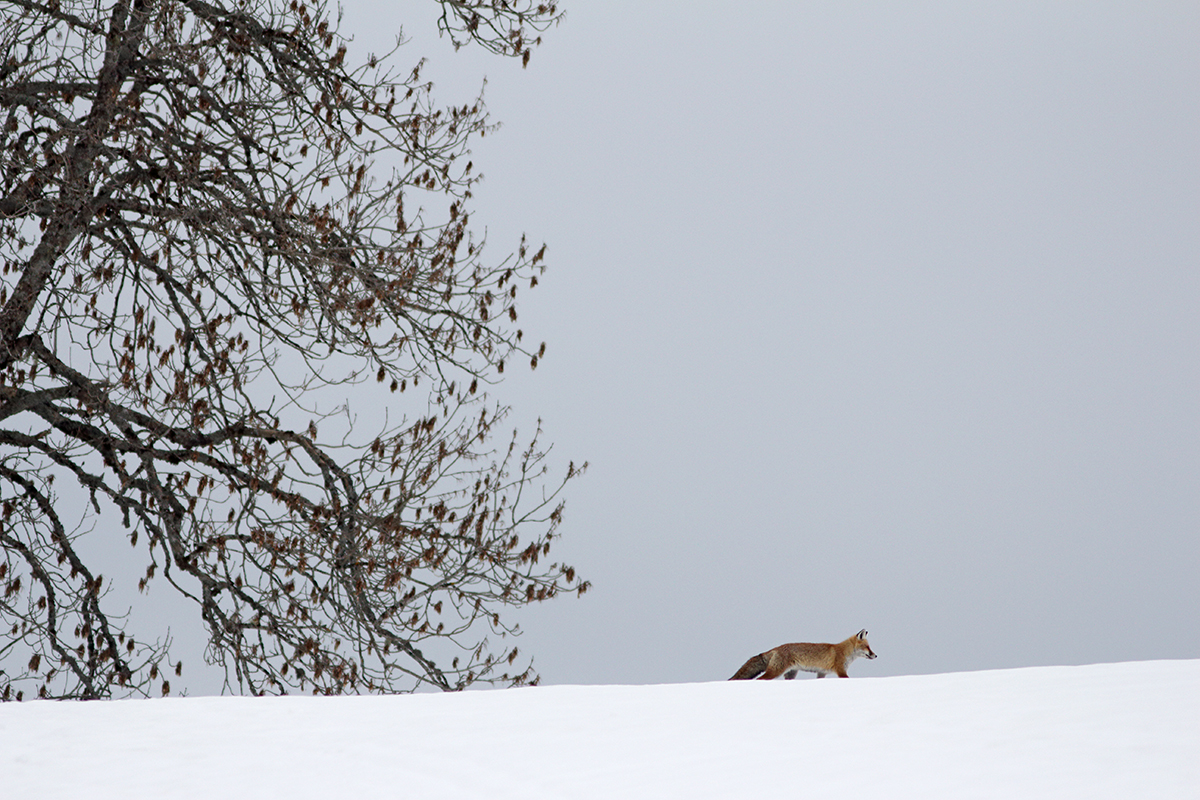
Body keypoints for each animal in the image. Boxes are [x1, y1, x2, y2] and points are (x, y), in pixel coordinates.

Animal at [724, 628, 878, 681]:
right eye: (867, 647)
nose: (875, 655)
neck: (845, 652)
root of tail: (776, 648)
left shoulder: (822, 673)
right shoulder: (840, 671)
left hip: (790, 674)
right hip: (776, 671)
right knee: (760, 679)